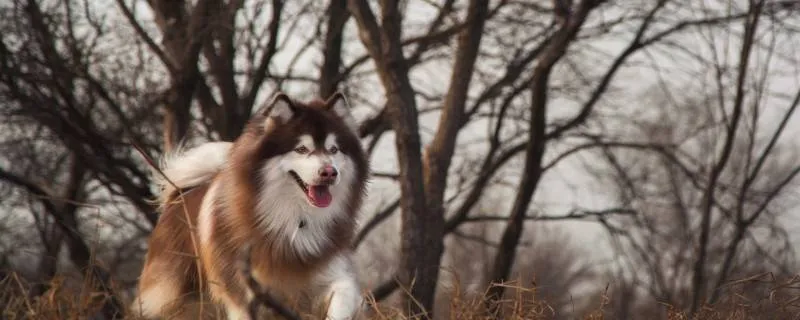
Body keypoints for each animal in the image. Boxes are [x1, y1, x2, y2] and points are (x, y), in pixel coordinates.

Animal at [133, 91, 370, 318]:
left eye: (334, 149)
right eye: (301, 149)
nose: (329, 172)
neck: (294, 218)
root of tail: (178, 196)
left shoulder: (333, 270)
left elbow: (341, 299)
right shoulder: (245, 291)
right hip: (170, 293)